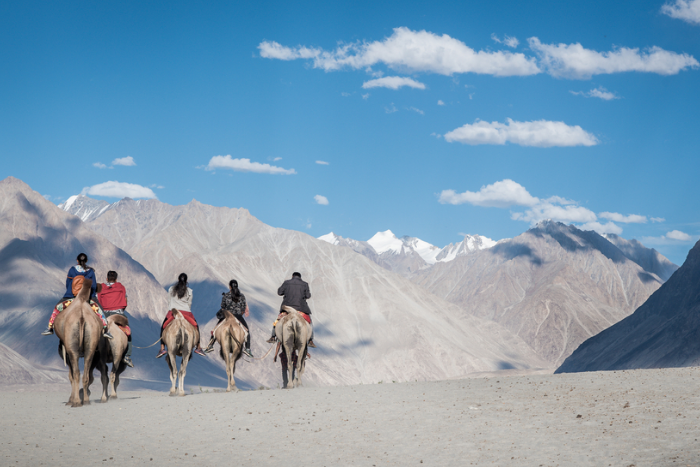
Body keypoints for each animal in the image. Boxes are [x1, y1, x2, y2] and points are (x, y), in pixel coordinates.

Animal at [53, 280, 102, 408]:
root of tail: (81, 317)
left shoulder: (66, 351)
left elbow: (70, 376)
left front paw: (70, 400)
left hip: (72, 347)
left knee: (76, 373)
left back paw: (75, 402)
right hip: (91, 344)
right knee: (85, 375)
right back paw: (86, 400)